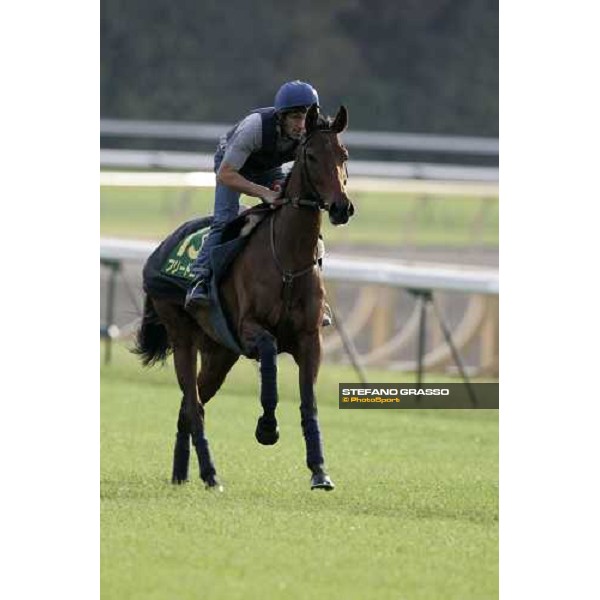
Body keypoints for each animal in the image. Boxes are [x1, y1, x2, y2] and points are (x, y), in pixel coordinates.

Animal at [134, 105, 354, 490]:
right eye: (311, 156)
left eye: (344, 155)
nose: (342, 208)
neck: (287, 260)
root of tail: (159, 248)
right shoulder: (249, 329)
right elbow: (268, 360)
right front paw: (267, 427)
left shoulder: (309, 338)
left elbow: (309, 401)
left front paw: (319, 470)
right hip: (183, 337)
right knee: (193, 405)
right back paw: (210, 474)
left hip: (219, 353)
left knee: (189, 406)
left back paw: (182, 474)